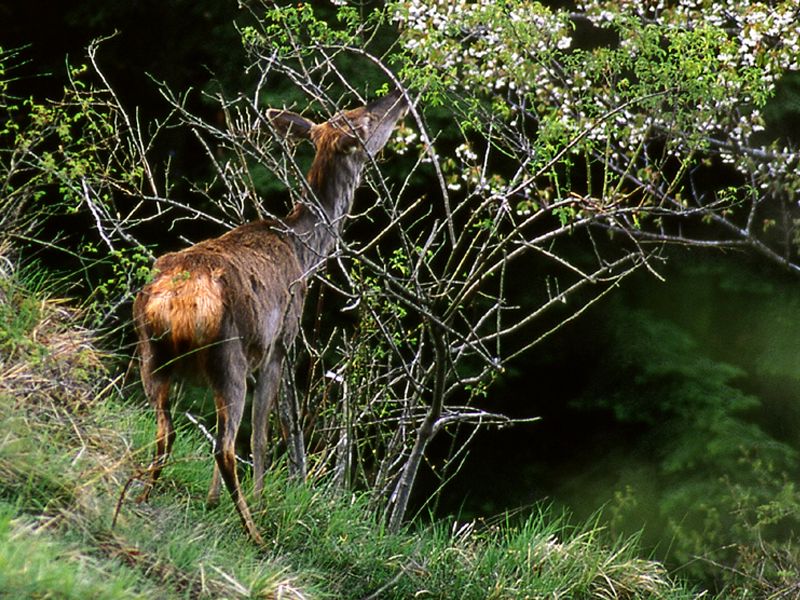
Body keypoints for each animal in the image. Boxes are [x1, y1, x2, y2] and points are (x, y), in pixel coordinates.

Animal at [134, 90, 410, 544]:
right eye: (364, 120)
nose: (399, 97)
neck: (305, 253)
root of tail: (176, 301)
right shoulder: (278, 344)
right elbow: (264, 435)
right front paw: (260, 504)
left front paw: (211, 501)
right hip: (227, 354)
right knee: (226, 445)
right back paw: (254, 532)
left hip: (151, 355)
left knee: (166, 429)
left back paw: (144, 494)